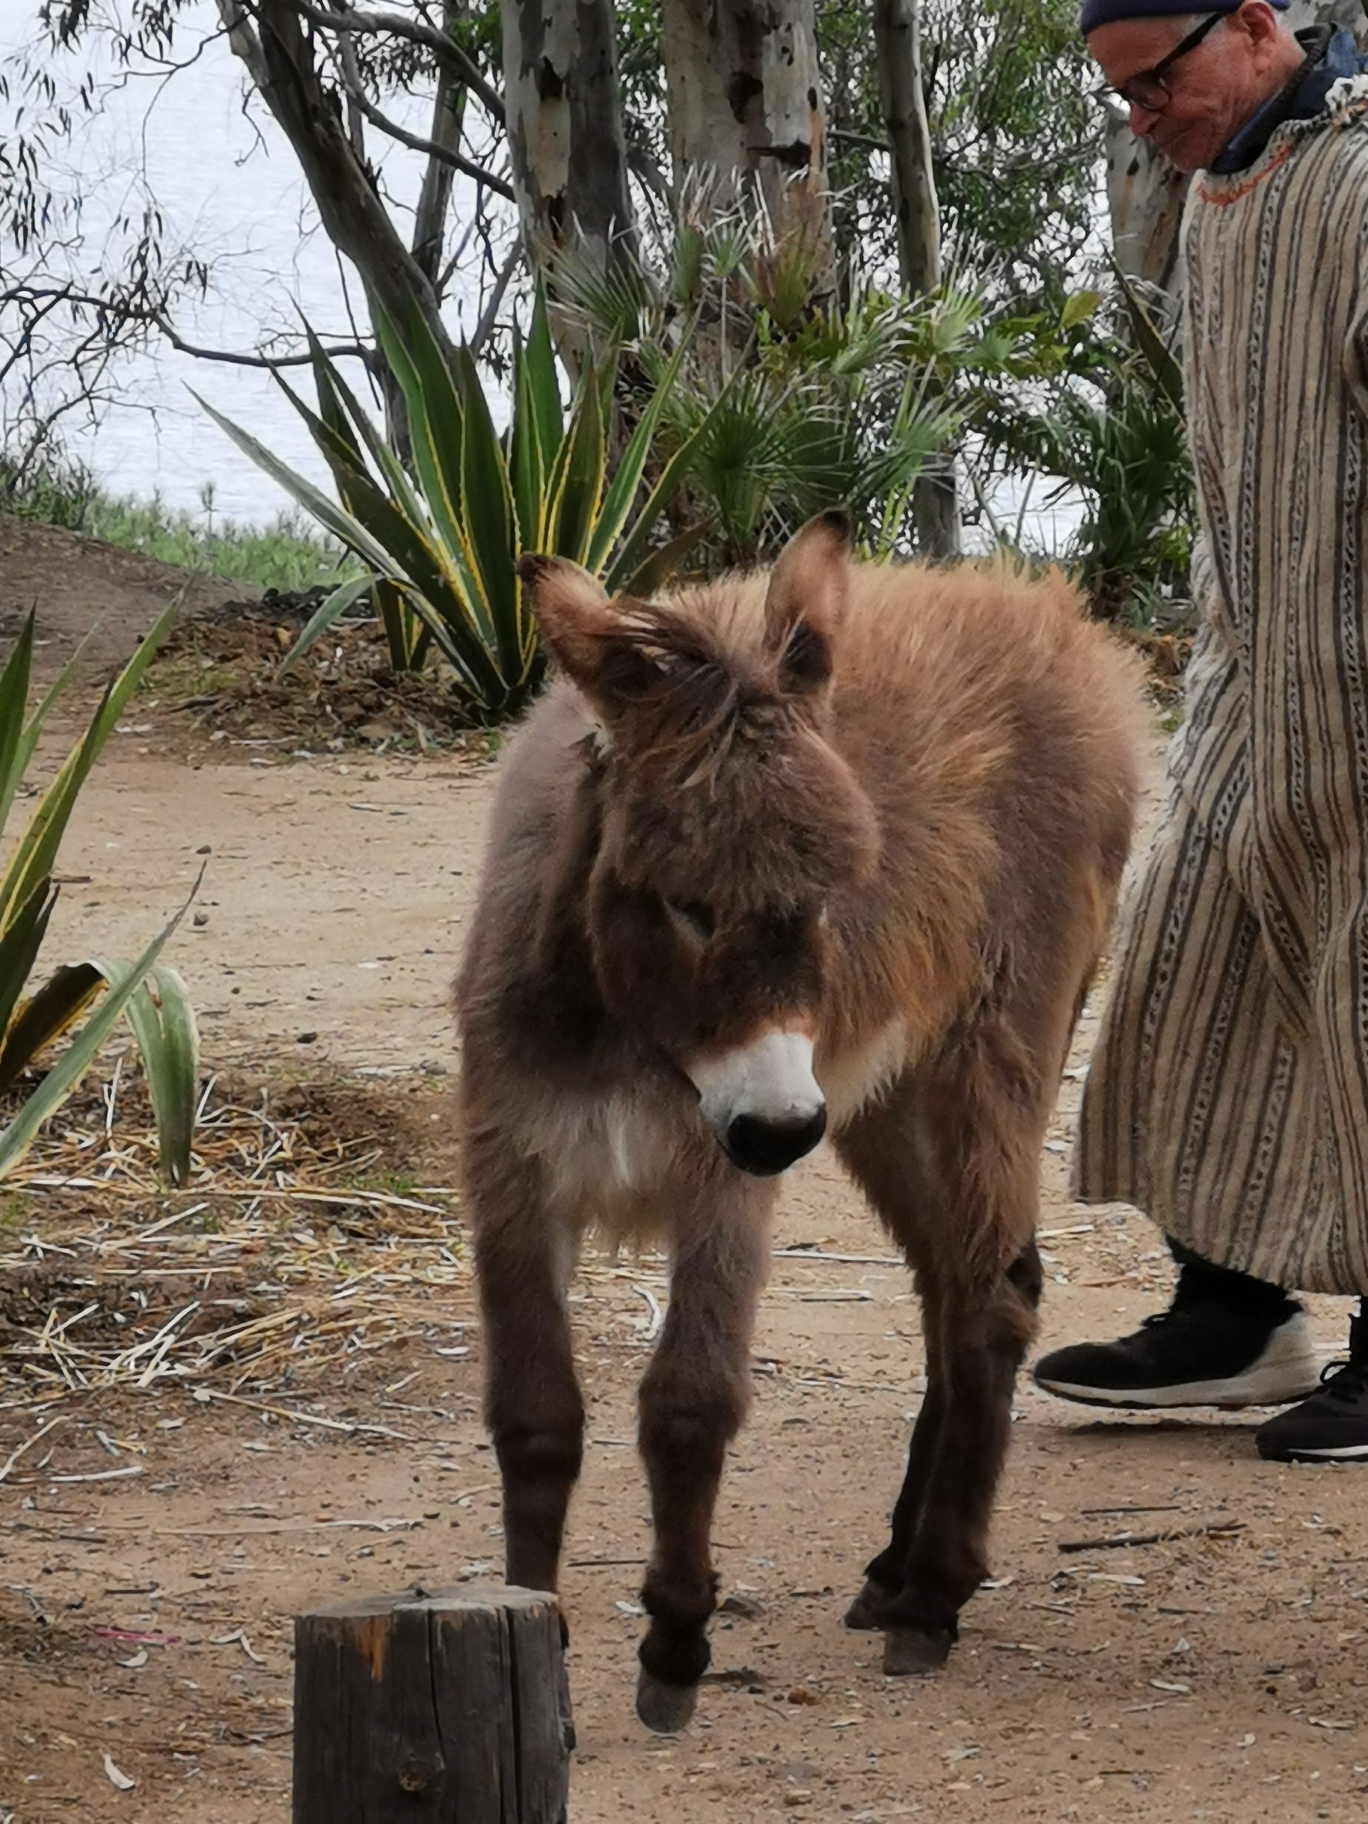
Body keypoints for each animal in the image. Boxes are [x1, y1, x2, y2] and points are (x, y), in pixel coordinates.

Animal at [461, 510, 1145, 1721]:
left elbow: (689, 1402)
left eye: (830, 897)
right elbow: (536, 1418)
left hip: (983, 1049)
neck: (616, 1026)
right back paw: (894, 1571)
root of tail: (1060, 622)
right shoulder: (514, 1169)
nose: (779, 1133)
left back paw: (934, 1598)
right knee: (946, 1286)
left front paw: (675, 1644)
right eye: (687, 906)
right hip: (879, 1097)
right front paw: (534, 1631)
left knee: (993, 1297)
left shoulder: (719, 1176)